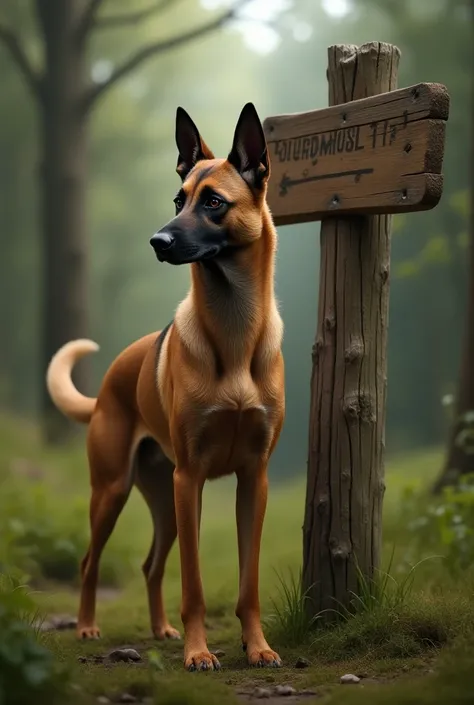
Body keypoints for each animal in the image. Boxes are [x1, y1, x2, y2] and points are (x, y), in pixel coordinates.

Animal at [46, 103, 286, 672]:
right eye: (178, 200)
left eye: (214, 202)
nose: (158, 241)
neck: (233, 329)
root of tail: (111, 376)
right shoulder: (191, 477)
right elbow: (193, 585)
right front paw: (200, 653)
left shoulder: (254, 480)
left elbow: (248, 583)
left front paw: (258, 647)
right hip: (117, 491)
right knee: (90, 561)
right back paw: (87, 626)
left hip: (167, 501)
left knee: (151, 565)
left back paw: (159, 629)